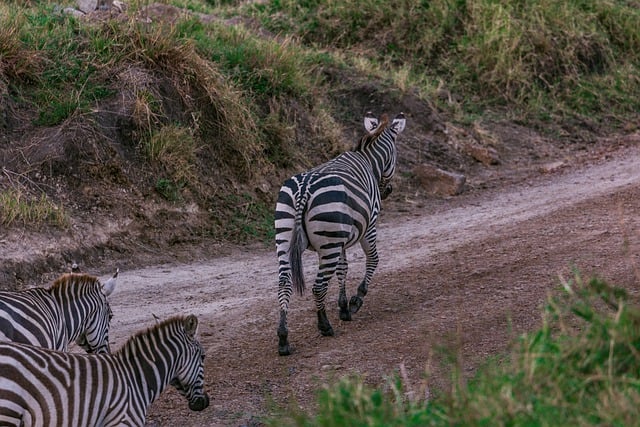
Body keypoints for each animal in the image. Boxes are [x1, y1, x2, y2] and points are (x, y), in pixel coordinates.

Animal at [274, 112, 404, 356]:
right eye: (394, 157)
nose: (388, 191)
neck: (367, 160)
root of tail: (304, 189)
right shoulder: (369, 226)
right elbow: (373, 259)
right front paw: (355, 300)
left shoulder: (342, 239)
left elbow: (343, 269)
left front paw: (343, 307)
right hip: (328, 243)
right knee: (318, 286)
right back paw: (324, 326)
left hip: (287, 237)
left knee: (284, 283)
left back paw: (283, 339)